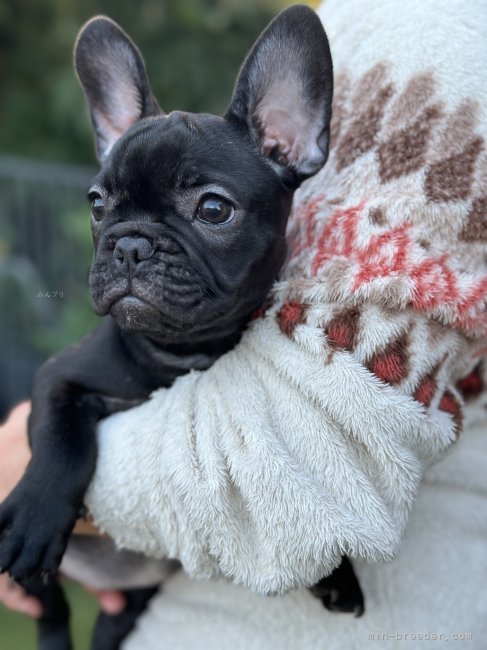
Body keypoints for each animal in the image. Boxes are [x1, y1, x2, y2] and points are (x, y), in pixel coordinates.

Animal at [0, 6, 364, 648]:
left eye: (214, 209)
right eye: (97, 205)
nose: (130, 245)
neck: (181, 351)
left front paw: (338, 568)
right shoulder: (58, 378)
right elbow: (62, 441)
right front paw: (36, 517)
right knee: (51, 610)